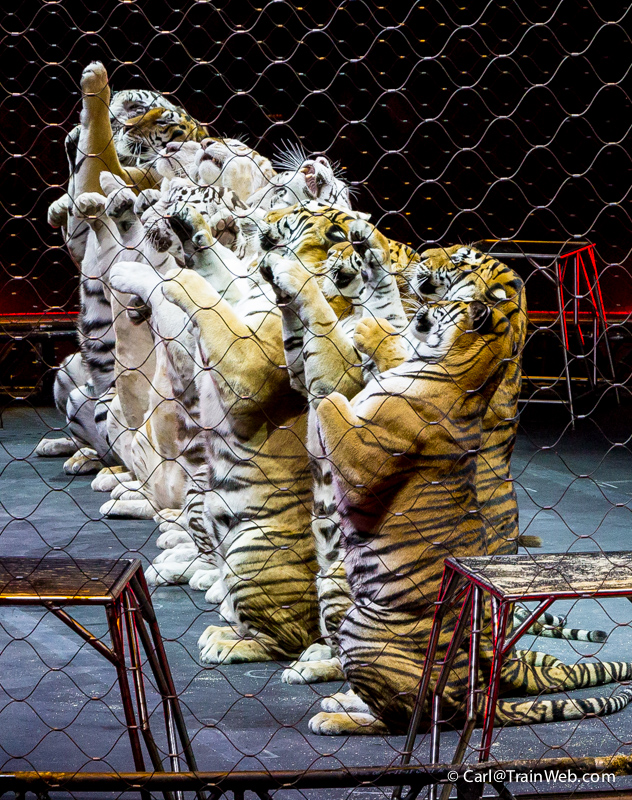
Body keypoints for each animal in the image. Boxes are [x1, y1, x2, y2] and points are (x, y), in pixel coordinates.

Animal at [309, 299, 632, 735]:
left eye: (444, 303)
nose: (423, 302)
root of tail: (473, 696)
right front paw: (371, 331)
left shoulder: (363, 461)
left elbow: (333, 403)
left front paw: (327, 385)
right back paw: (341, 700)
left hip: (361, 628)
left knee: (399, 719)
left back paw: (334, 716)